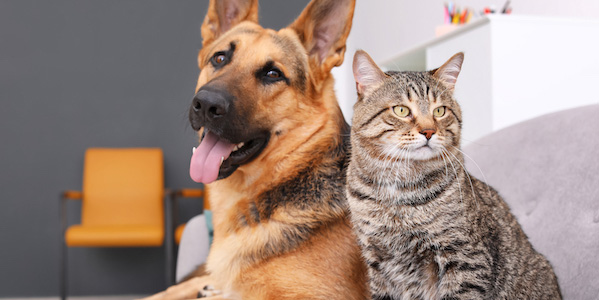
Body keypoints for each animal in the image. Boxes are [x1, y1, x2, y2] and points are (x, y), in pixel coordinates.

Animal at [346, 50, 564, 298]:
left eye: (439, 111)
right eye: (401, 110)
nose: (429, 131)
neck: (398, 192)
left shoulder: (464, 257)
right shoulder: (378, 264)